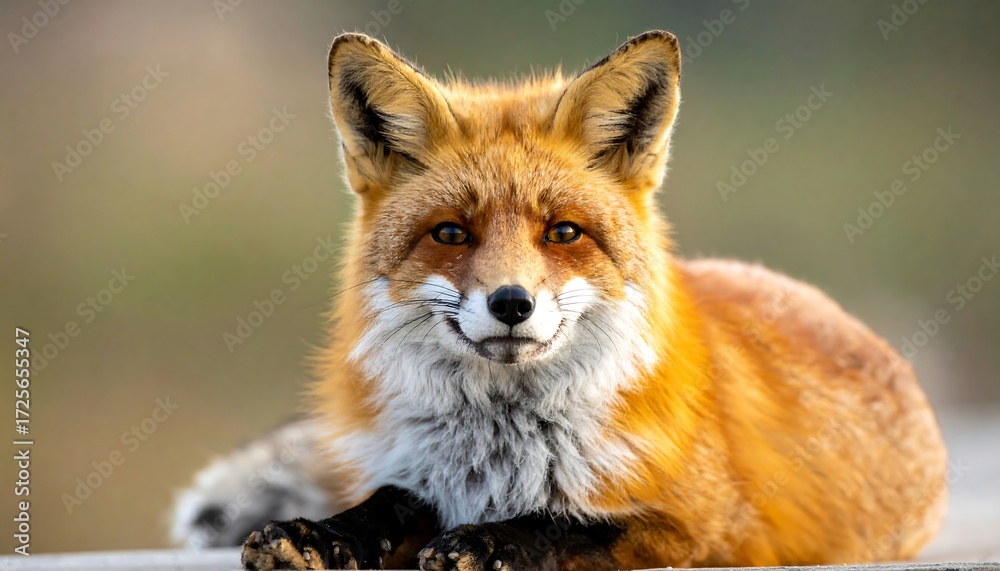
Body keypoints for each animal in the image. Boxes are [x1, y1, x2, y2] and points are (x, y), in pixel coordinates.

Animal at [172, 30, 947, 570]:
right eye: (450, 233)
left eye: (563, 232)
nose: (511, 303)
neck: (500, 449)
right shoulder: (415, 473)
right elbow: (389, 500)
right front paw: (322, 534)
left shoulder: (714, 527)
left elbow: (578, 523)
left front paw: (492, 541)